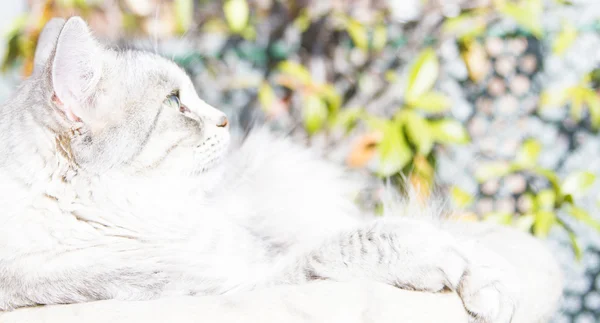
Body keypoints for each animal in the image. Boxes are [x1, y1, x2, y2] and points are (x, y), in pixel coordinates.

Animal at [0, 16, 548, 322]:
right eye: (176, 103)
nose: (225, 118)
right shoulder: (245, 283)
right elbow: (367, 240)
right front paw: (451, 266)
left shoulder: (258, 249)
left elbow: (451, 243)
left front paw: (492, 280)